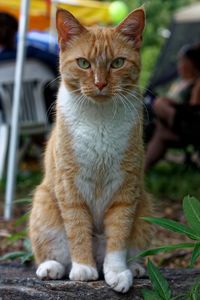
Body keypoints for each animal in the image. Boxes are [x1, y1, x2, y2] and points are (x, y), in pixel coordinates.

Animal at [28, 7, 152, 292]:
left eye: (117, 63)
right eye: (84, 63)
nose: (100, 84)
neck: (99, 119)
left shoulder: (125, 188)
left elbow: (118, 235)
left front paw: (117, 272)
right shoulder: (70, 187)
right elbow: (77, 229)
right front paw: (83, 268)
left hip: (145, 208)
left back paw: (134, 267)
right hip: (43, 205)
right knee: (54, 252)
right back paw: (52, 268)